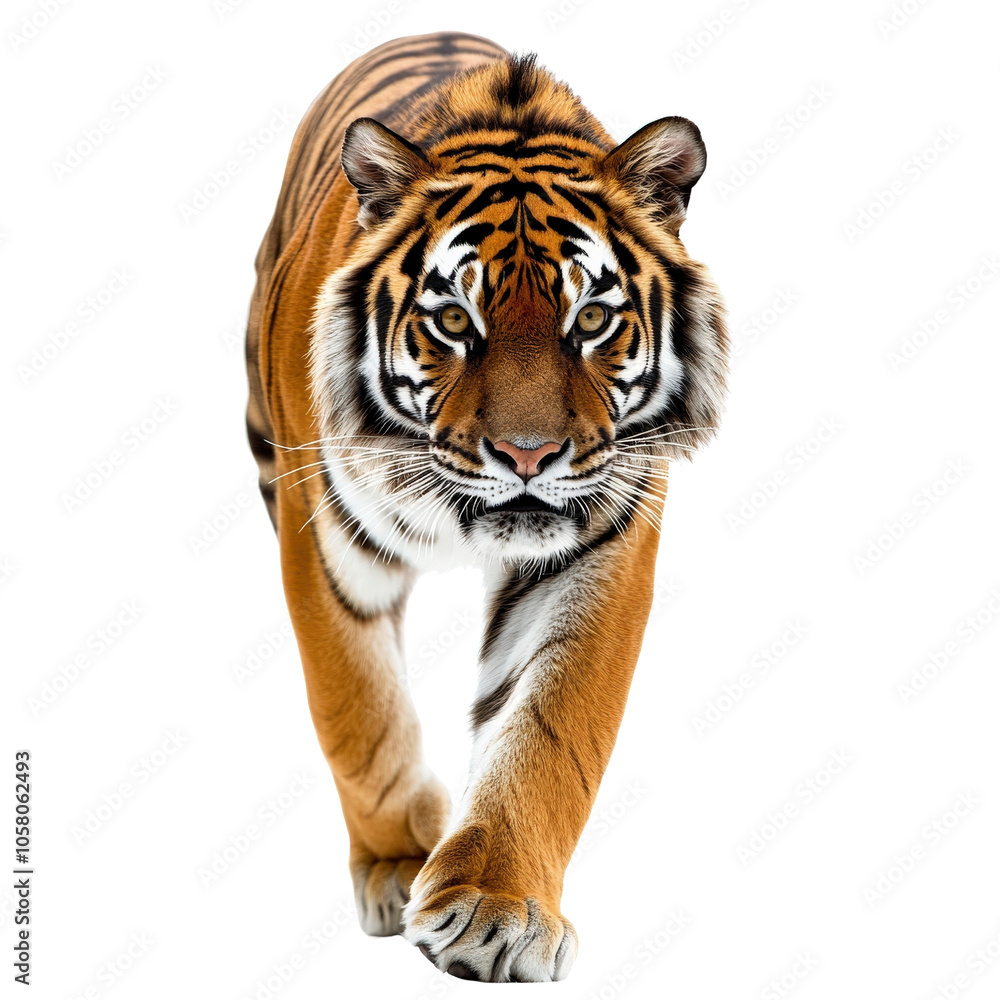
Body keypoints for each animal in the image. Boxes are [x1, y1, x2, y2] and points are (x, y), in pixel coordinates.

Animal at [244, 30, 727, 983]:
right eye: (455, 320)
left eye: (591, 320)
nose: (528, 455)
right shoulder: (323, 541)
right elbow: (359, 710)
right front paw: (399, 862)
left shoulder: (598, 546)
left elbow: (549, 730)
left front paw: (495, 911)